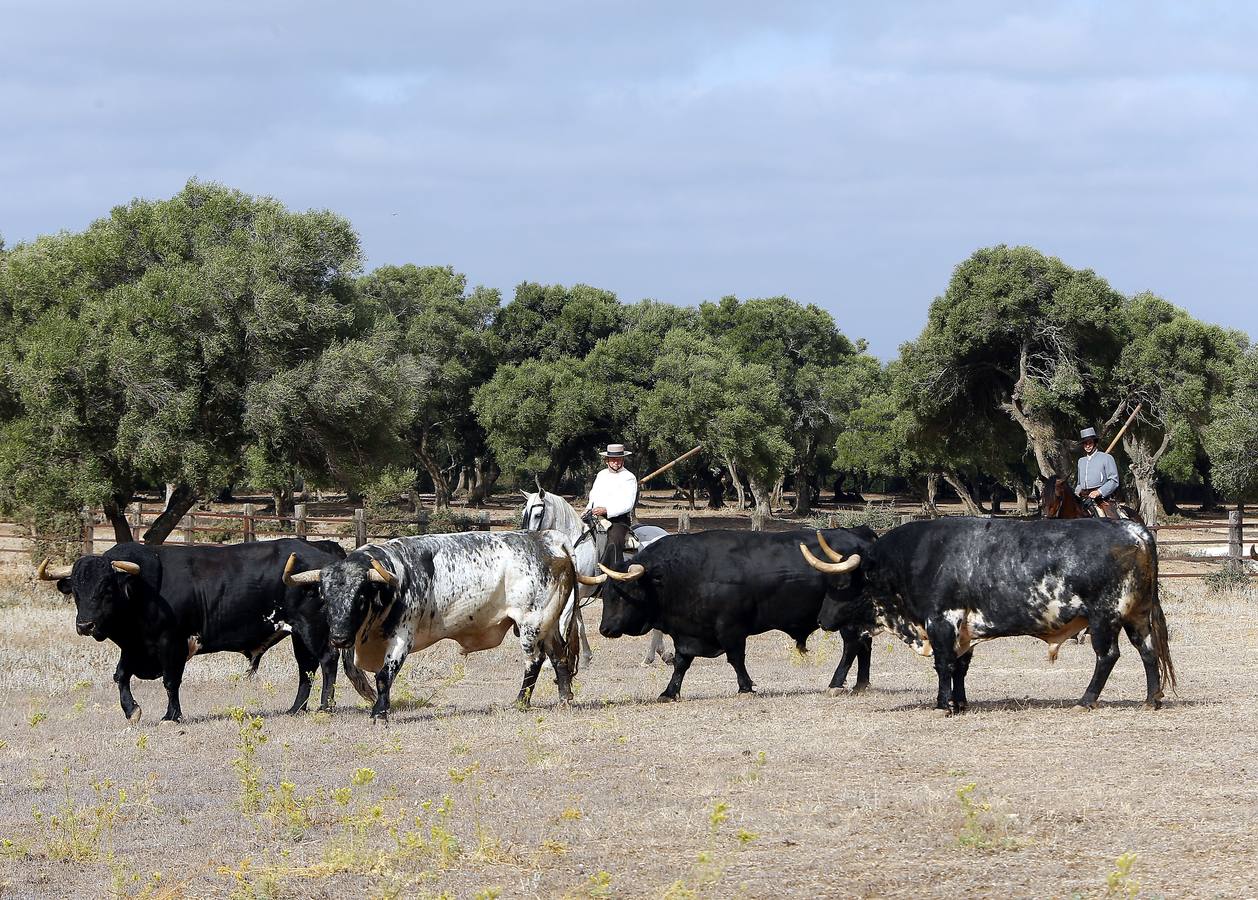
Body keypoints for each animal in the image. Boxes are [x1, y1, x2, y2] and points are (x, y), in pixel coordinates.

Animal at [36, 538, 349, 720]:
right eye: (76, 592)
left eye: (106, 588)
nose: (84, 625)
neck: (142, 590)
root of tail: (322, 550)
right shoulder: (134, 646)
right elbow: (120, 675)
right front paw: (132, 710)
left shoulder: (171, 643)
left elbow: (170, 681)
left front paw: (171, 715)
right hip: (297, 633)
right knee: (306, 668)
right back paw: (296, 709)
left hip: (312, 626)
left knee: (326, 661)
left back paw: (326, 706)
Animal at [284, 531, 578, 720]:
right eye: (325, 597)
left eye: (360, 597)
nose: (339, 638)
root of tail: (549, 539)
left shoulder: (402, 636)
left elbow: (384, 676)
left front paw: (380, 713)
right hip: (548, 623)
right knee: (559, 656)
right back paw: (565, 698)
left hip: (531, 623)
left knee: (534, 661)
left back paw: (521, 702)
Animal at [523, 485, 679, 669]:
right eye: (524, 512)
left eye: (537, 514)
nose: (528, 538)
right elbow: (579, 625)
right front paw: (586, 657)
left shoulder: (573, 596)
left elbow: (562, 622)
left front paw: (550, 662)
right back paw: (661, 654)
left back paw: (650, 656)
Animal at [586, 528, 875, 704]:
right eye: (606, 594)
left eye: (622, 594)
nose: (605, 629)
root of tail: (860, 537)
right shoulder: (687, 633)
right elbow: (681, 662)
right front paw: (669, 692)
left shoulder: (730, 628)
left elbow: (736, 659)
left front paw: (745, 687)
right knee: (865, 644)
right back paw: (861, 684)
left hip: (845, 619)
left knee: (852, 646)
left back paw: (837, 683)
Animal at [800, 518, 1172, 714]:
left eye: (841, 583)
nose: (822, 620)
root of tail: (1136, 530)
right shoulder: (964, 628)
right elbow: (960, 666)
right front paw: (960, 702)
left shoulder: (942, 620)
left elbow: (944, 664)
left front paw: (943, 704)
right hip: (1136, 616)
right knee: (1148, 652)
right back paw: (1151, 699)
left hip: (1104, 617)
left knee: (1108, 656)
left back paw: (1086, 700)